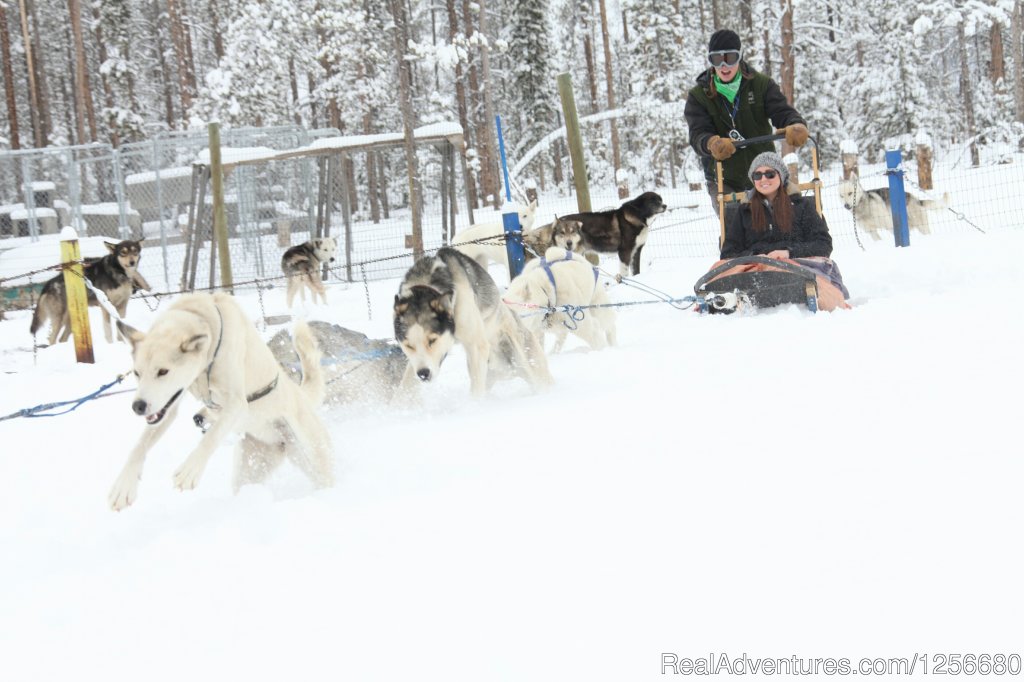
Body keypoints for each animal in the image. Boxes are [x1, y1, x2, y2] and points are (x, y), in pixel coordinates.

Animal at [108, 288, 333, 507]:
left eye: (163, 371)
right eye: (137, 373)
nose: (138, 406)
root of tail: (301, 394)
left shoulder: (236, 403)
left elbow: (211, 437)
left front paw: (190, 470)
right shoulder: (168, 408)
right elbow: (139, 447)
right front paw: (124, 486)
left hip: (313, 456)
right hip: (248, 472)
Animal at [391, 245, 552, 395]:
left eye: (432, 340)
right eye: (408, 345)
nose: (423, 374)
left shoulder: (476, 346)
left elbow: (475, 391)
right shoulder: (414, 361)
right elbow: (406, 383)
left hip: (528, 362)